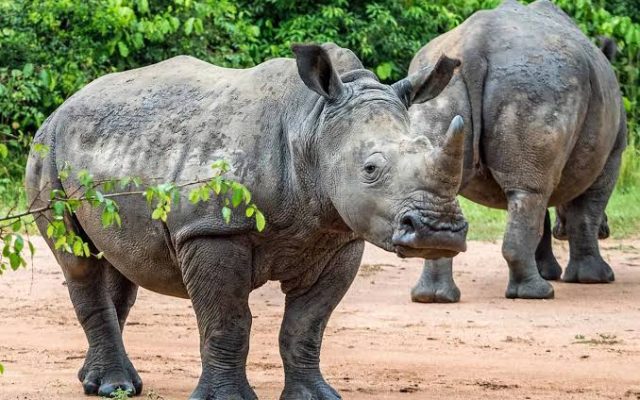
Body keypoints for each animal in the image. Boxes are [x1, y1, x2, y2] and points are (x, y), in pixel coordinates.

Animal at [25, 43, 467, 399]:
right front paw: (227, 399)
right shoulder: (213, 231)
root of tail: (63, 105)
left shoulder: (339, 237)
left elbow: (307, 325)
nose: (439, 232)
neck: (313, 124)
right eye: (371, 169)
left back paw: (101, 382)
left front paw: (315, 397)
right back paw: (112, 385)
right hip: (47, 150)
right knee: (78, 260)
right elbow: (228, 321)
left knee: (119, 261)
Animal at [407, 0, 626, 303]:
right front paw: (595, 278)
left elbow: (543, 216)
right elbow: (586, 212)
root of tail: (474, 45)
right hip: (540, 82)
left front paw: (550, 270)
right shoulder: (613, 154)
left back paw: (434, 297)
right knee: (531, 192)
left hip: (442, 85)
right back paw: (538, 294)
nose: (607, 231)